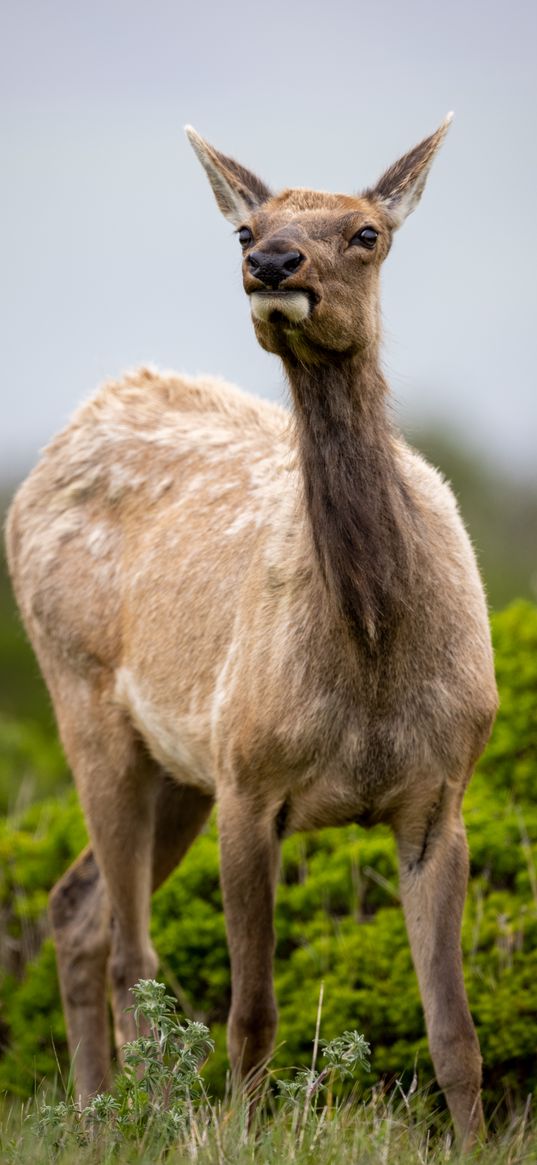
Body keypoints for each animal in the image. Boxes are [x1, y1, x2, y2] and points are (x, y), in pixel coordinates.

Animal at [5, 113, 498, 1141]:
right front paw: (237, 1129)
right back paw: (138, 1117)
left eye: (366, 232)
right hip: (89, 702)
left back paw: (100, 1113)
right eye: (244, 228)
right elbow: (252, 1012)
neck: (371, 648)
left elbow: (454, 1032)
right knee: (130, 949)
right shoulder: (250, 777)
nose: (271, 263)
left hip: (175, 765)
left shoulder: (442, 793)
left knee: (76, 908)